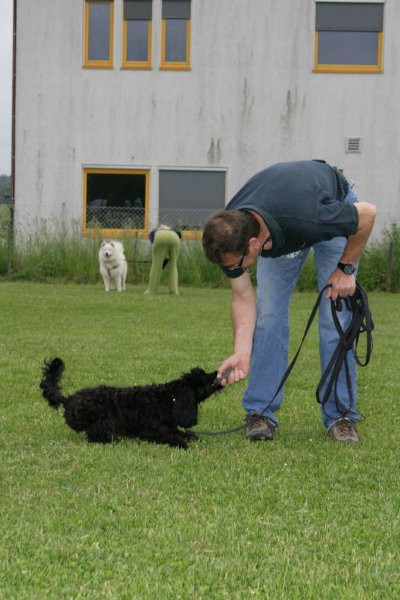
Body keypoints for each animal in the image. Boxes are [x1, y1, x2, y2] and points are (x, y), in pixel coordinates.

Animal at [39, 358, 223, 448]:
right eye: (203, 380)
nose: (217, 374)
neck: (169, 398)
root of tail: (68, 399)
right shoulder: (151, 433)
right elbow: (171, 437)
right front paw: (181, 443)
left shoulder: (169, 427)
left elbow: (187, 434)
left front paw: (190, 437)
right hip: (102, 418)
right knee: (94, 434)